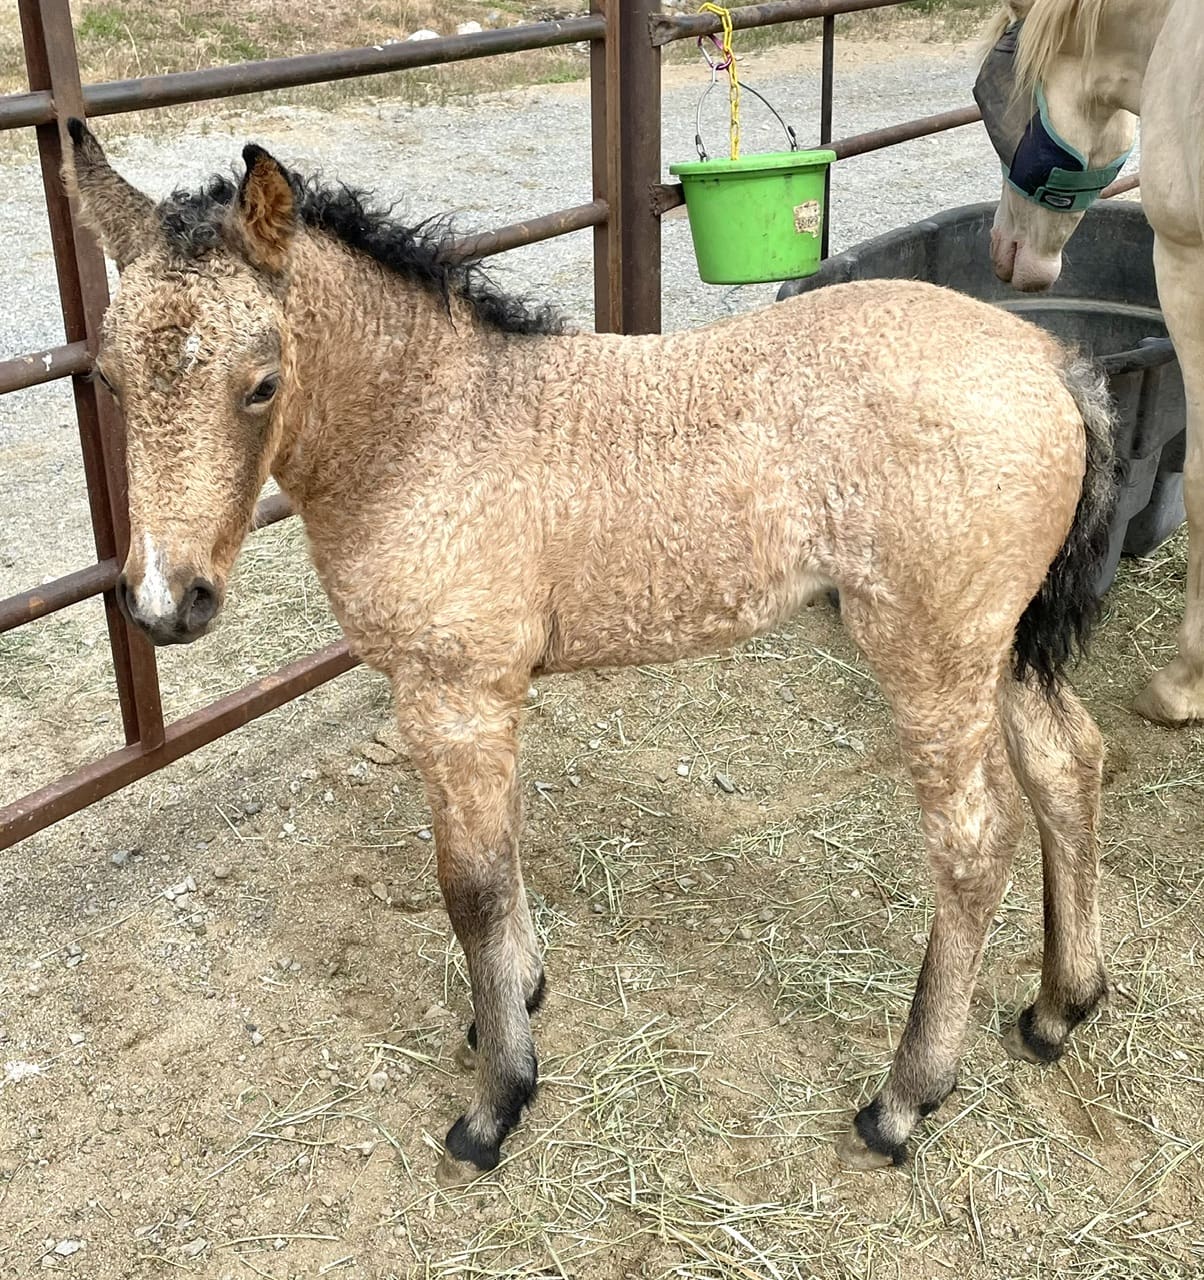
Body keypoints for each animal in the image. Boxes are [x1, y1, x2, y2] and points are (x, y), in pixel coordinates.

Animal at [63, 118, 1115, 1182]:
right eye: (108, 378)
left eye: (263, 382)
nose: (166, 601)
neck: (431, 428)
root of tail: (1051, 359)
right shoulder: (484, 696)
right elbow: (503, 849)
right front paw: (518, 1000)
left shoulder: (454, 693)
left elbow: (471, 885)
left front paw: (496, 1102)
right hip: (996, 643)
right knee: (1067, 759)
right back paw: (1060, 1007)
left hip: (930, 650)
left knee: (975, 843)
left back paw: (904, 1099)